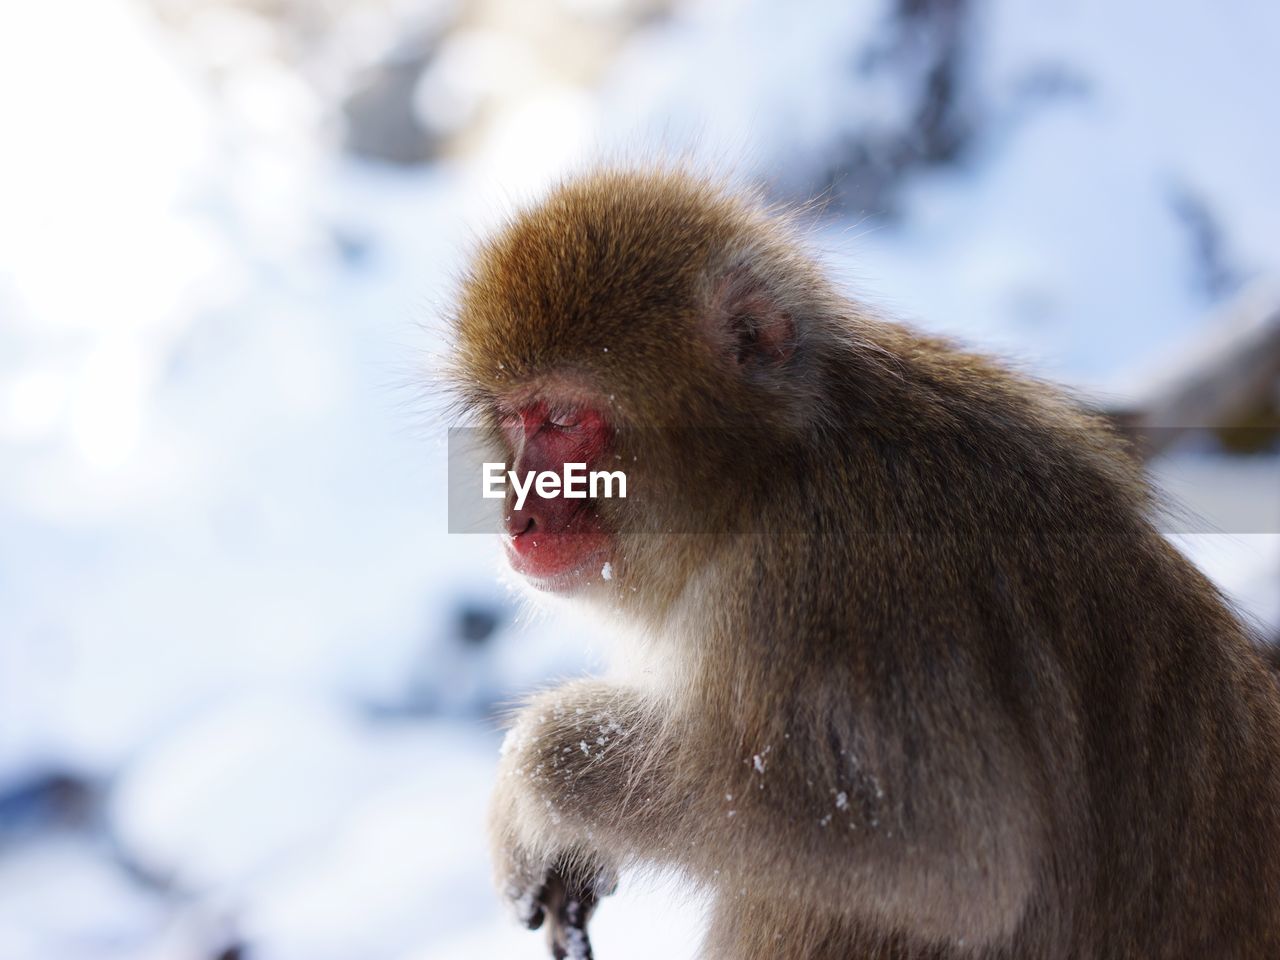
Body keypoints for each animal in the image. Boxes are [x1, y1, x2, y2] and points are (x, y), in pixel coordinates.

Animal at [445, 171, 1280, 960]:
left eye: (562, 419)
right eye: (515, 420)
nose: (519, 519)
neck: (772, 474)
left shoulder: (830, 588)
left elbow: (953, 859)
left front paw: (537, 776)